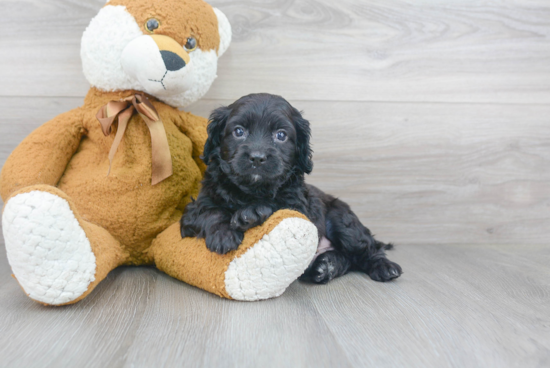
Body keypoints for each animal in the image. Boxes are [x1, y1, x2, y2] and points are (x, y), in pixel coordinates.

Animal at [183, 93, 404, 284]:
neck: (251, 190)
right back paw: (326, 267)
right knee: (347, 260)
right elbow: (210, 211)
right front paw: (224, 235)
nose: (257, 157)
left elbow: (276, 204)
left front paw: (251, 213)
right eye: (238, 131)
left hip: (343, 220)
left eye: (281, 135)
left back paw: (384, 267)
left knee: (364, 249)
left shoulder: (299, 208)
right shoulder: (194, 209)